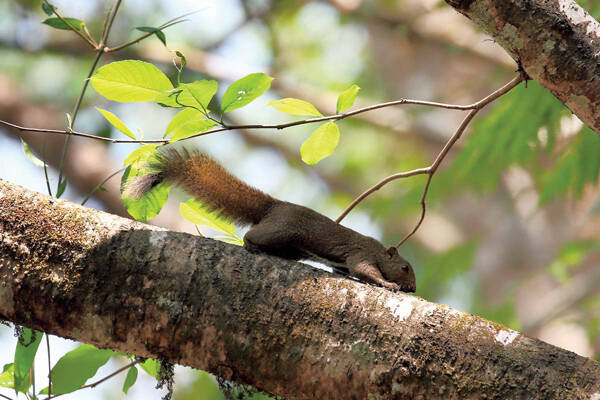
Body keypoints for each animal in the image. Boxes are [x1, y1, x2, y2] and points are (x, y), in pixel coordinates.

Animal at [124, 148, 414, 292]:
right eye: (404, 267)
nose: (411, 289)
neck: (379, 250)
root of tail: (272, 206)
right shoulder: (362, 252)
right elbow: (364, 270)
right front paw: (388, 284)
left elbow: (343, 270)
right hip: (282, 230)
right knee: (252, 235)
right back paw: (251, 245)